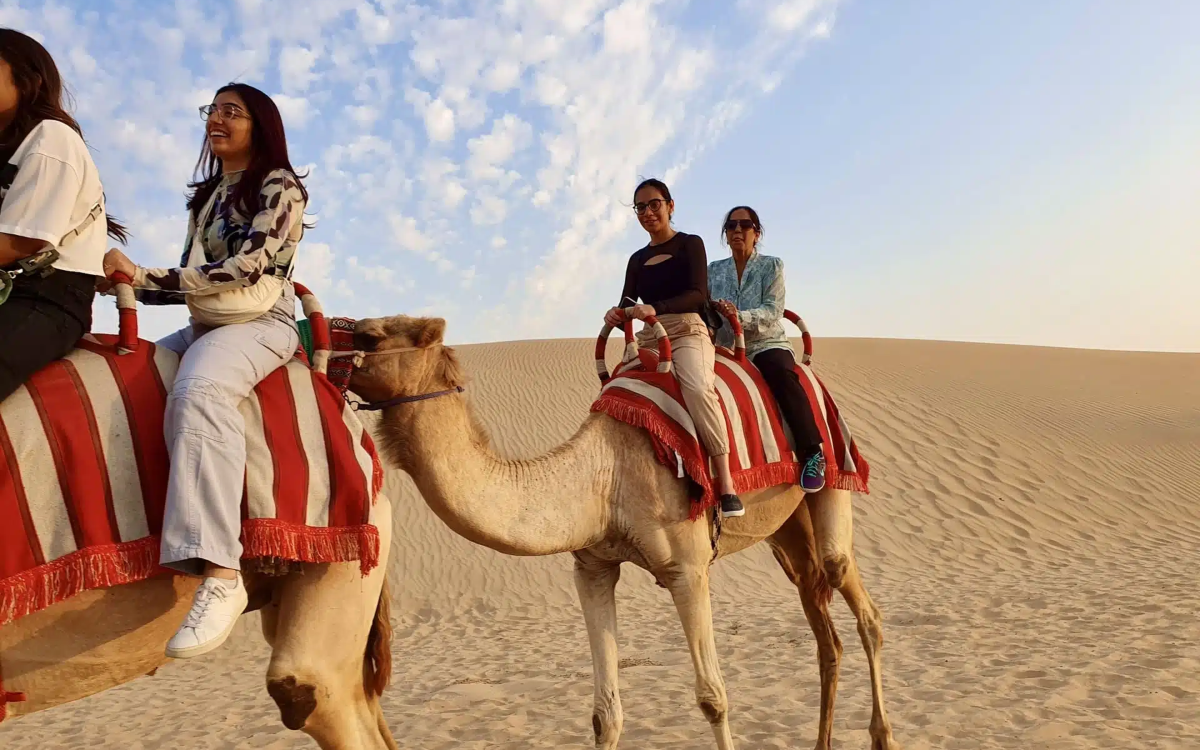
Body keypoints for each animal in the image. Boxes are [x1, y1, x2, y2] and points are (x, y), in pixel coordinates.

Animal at [348, 312, 902, 748]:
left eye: (369, 336)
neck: (604, 475)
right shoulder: (593, 567)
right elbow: (604, 715)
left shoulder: (687, 569)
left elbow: (713, 698)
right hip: (785, 530)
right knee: (820, 615)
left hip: (832, 469)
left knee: (857, 598)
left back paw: (883, 735)